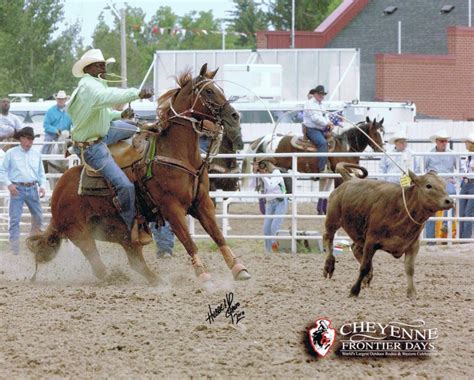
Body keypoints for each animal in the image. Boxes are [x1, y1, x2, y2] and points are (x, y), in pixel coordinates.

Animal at [27, 64, 252, 284]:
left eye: (219, 89)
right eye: (208, 91)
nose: (235, 116)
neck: (176, 154)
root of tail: (57, 193)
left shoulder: (202, 203)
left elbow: (218, 235)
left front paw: (239, 268)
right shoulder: (172, 208)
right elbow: (189, 241)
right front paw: (203, 274)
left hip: (116, 231)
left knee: (135, 259)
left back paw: (157, 280)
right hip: (81, 232)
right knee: (99, 265)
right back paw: (116, 277)